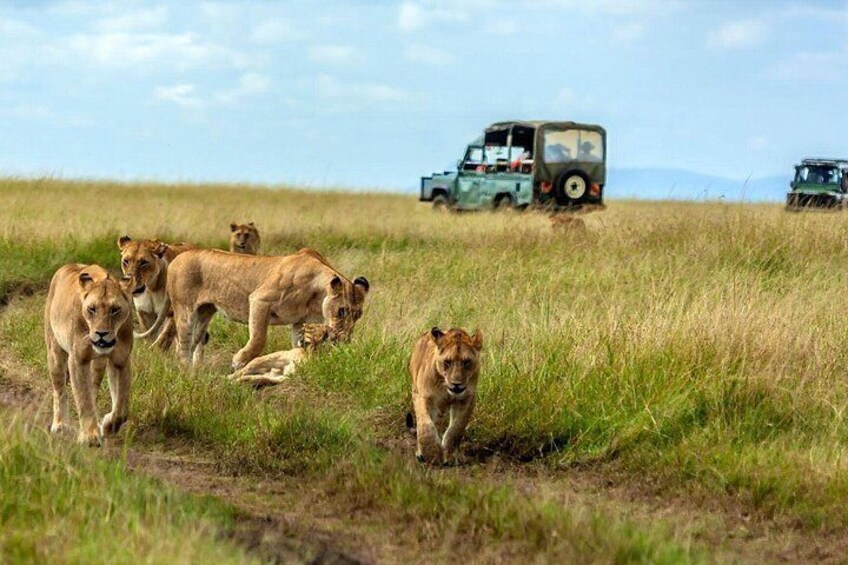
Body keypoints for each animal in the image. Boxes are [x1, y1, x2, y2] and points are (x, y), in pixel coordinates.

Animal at [44, 264, 133, 446]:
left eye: (115, 309)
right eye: (92, 309)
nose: (101, 334)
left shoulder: (120, 360)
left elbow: (121, 406)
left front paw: (108, 426)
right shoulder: (78, 359)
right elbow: (83, 399)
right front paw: (90, 436)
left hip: (98, 366)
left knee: (92, 388)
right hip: (55, 353)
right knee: (59, 389)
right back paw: (60, 425)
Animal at [152, 248, 369, 368]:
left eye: (358, 315)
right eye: (342, 311)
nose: (345, 339)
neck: (317, 292)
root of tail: (177, 257)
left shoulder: (298, 321)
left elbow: (297, 344)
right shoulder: (259, 299)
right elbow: (259, 338)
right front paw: (239, 360)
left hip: (205, 313)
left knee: (193, 342)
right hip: (185, 311)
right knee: (183, 345)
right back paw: (186, 371)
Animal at [407, 327, 483, 465]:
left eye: (467, 362)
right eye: (447, 362)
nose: (456, 384)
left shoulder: (467, 399)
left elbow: (457, 428)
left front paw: (451, 455)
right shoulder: (423, 396)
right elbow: (425, 424)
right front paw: (431, 453)